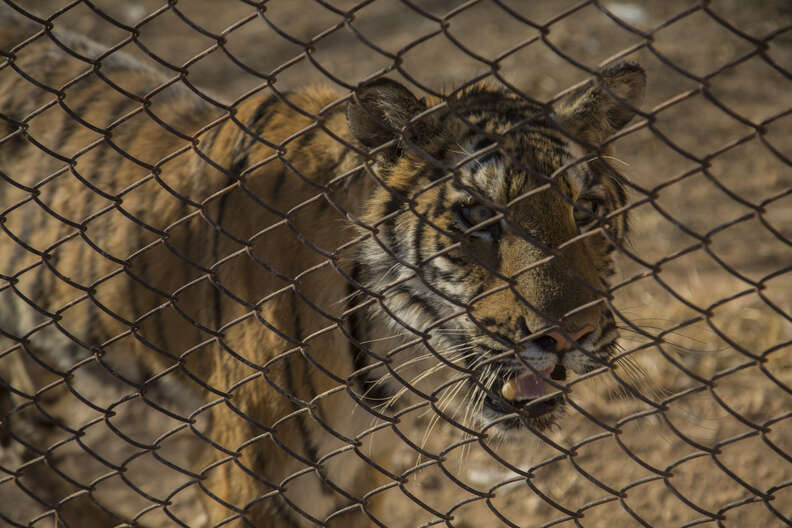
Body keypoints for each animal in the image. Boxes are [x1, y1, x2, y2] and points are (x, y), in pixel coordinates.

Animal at [0, 10, 645, 528]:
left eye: (586, 210)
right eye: (479, 214)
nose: (569, 336)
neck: (392, 354)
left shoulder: (363, 480)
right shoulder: (248, 482)